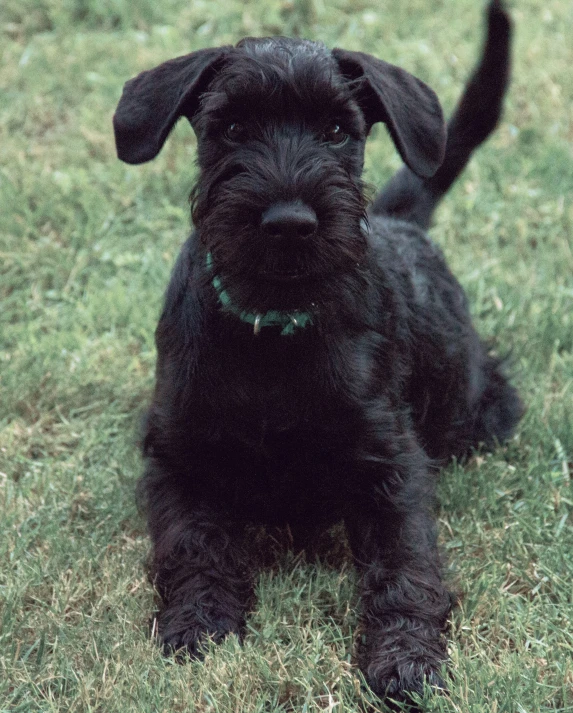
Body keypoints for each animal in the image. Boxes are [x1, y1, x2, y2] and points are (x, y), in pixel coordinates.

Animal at [113, 0, 524, 700]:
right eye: (232, 126)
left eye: (337, 129)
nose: (289, 224)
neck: (274, 326)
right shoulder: (179, 454)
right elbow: (193, 543)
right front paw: (198, 623)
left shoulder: (391, 463)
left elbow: (405, 564)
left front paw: (407, 658)